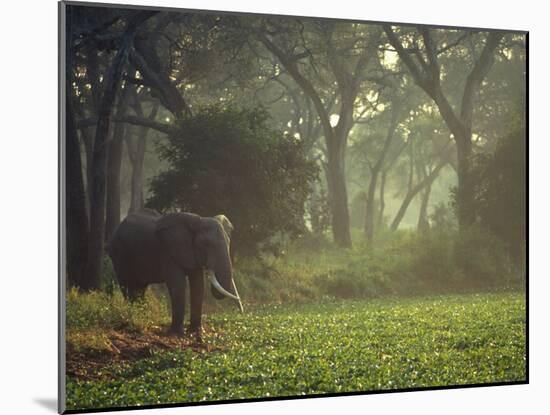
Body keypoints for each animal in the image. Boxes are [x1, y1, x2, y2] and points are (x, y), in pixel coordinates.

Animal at [108, 211, 244, 338]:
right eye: (205, 244)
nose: (242, 312)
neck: (198, 221)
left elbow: (198, 284)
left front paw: (196, 332)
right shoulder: (169, 252)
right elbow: (177, 285)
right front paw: (176, 334)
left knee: (140, 288)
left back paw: (142, 317)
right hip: (119, 254)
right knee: (127, 285)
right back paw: (133, 316)